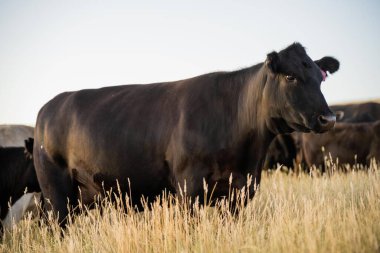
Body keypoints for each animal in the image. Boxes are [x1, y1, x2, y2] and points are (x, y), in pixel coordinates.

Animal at [34, 42, 340, 226]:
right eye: (290, 76)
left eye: (320, 77)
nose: (328, 118)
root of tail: (49, 106)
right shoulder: (188, 188)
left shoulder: (240, 192)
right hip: (55, 191)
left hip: (82, 196)